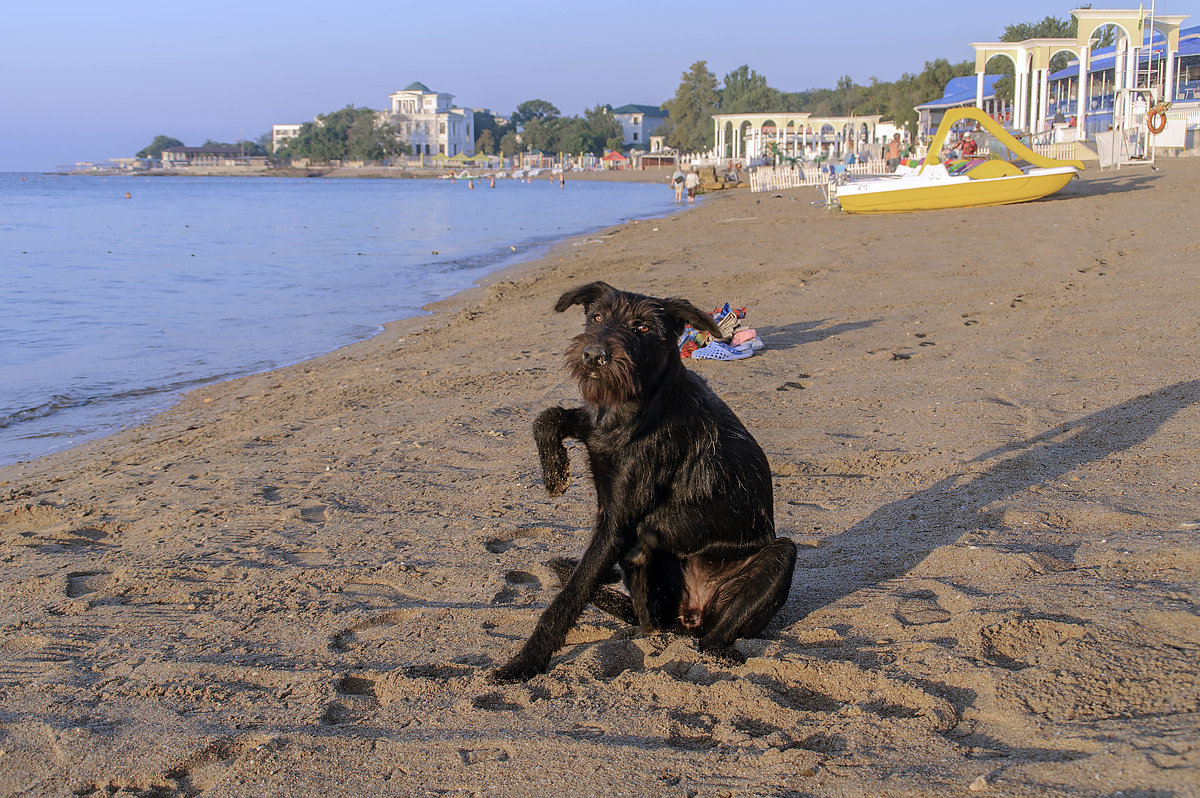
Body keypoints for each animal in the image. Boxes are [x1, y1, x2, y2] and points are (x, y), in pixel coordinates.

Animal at [492, 278, 792, 676]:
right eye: (597, 316)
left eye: (644, 328)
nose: (593, 356)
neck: (633, 407)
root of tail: (691, 616)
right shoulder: (596, 432)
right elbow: (547, 417)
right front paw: (555, 473)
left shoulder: (618, 521)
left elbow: (572, 593)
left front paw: (527, 660)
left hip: (777, 558)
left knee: (704, 634)